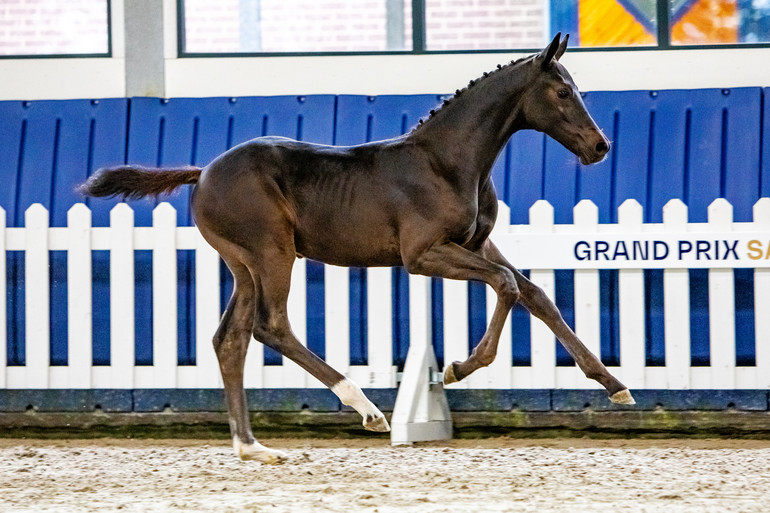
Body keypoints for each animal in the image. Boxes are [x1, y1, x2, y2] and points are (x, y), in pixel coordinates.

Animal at [79, 34, 632, 462]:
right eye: (562, 91)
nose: (601, 146)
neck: (447, 162)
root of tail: (204, 172)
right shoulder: (422, 255)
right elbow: (507, 286)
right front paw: (457, 368)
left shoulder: (477, 242)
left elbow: (535, 294)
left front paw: (613, 384)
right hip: (272, 253)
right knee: (271, 326)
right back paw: (366, 409)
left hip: (242, 264)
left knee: (229, 338)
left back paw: (251, 446)